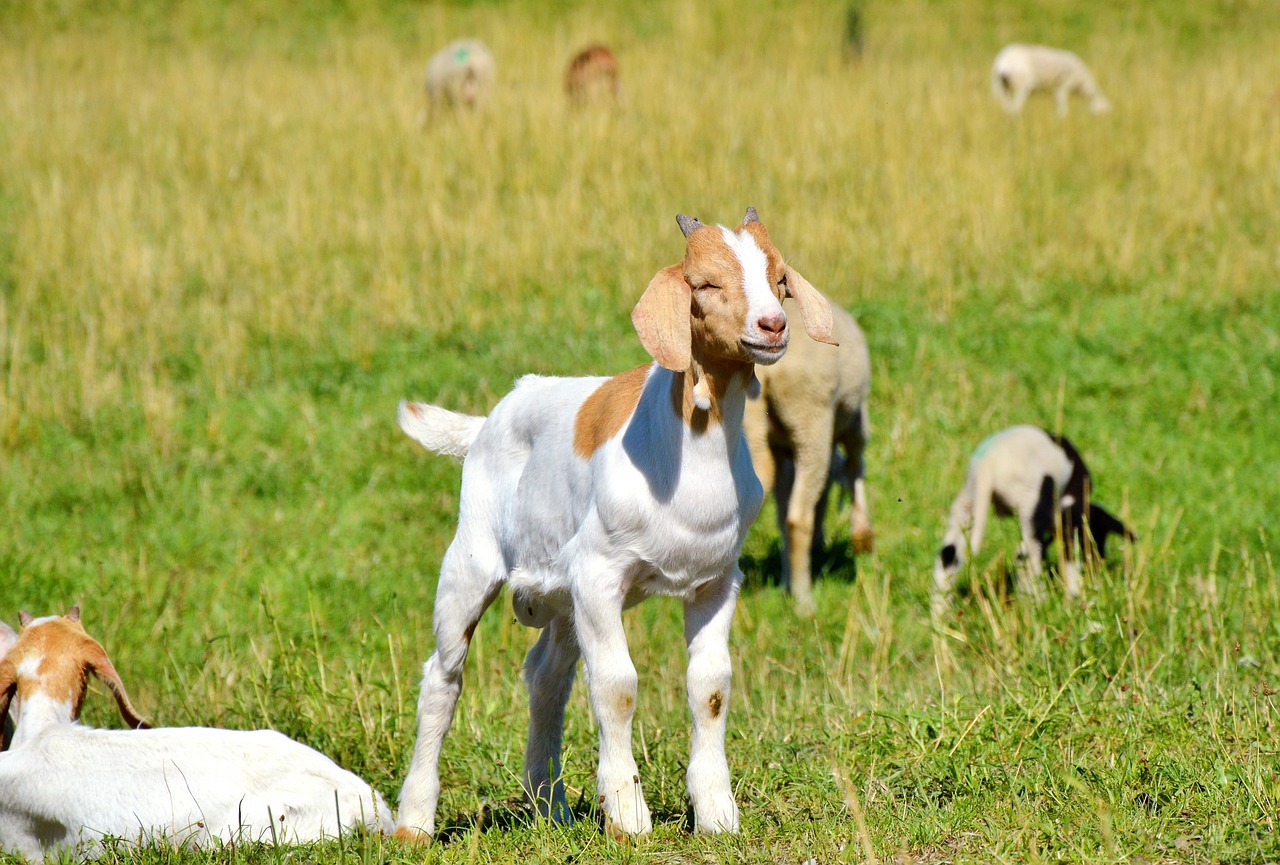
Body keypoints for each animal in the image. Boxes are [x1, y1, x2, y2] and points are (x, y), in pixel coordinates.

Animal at [396, 207, 839, 839]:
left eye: (780, 280)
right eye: (705, 283)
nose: (773, 325)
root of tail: (488, 420)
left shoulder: (715, 581)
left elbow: (710, 688)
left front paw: (717, 814)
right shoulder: (599, 573)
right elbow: (617, 686)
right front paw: (628, 814)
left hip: (561, 595)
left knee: (546, 678)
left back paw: (549, 806)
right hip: (473, 559)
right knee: (444, 676)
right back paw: (415, 820)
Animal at [747, 295, 875, 614]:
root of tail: (769, 371)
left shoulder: (782, 450)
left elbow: (783, 510)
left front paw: (785, 581)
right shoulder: (855, 423)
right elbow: (854, 468)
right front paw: (863, 538)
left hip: (753, 426)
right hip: (811, 418)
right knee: (798, 518)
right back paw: (804, 603)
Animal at [931, 424, 1131, 609]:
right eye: (1098, 536)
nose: (1098, 566)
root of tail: (987, 466)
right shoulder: (1068, 516)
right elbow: (1069, 555)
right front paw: (1074, 596)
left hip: (966, 503)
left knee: (948, 555)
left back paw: (939, 617)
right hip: (1030, 501)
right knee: (1025, 553)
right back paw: (1037, 603)